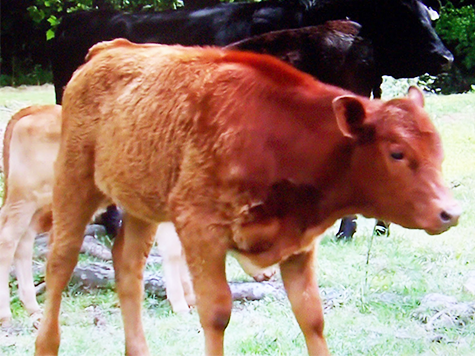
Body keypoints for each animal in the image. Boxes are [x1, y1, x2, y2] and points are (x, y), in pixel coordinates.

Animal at [35, 39, 462, 356]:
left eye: (439, 150)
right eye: (397, 153)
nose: (451, 213)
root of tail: (108, 49)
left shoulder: (299, 244)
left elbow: (312, 315)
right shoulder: (201, 230)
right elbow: (217, 312)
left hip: (142, 204)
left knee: (127, 265)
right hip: (73, 182)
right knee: (60, 261)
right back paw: (46, 342)